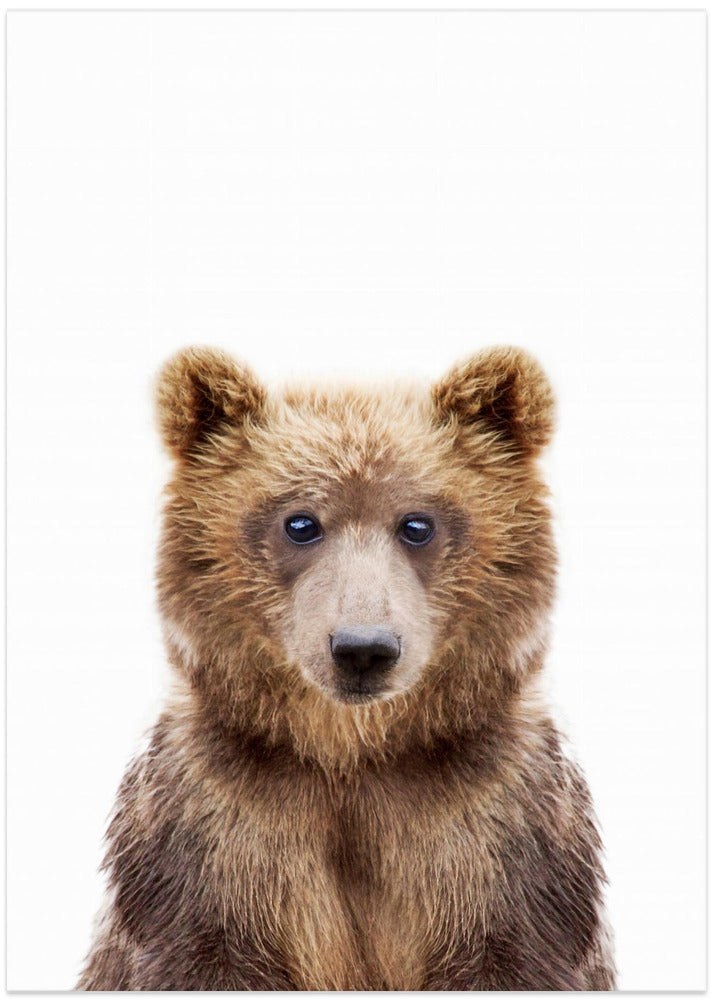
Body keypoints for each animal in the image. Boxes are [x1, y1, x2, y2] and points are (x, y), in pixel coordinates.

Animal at [77, 345, 615, 991]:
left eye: (417, 524)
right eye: (300, 522)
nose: (363, 648)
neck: (352, 754)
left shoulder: (498, 833)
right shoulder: (213, 833)